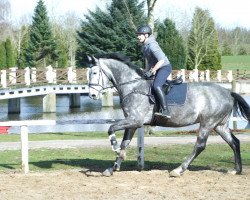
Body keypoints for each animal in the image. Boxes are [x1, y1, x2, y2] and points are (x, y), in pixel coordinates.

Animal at [86, 52, 250, 177]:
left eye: (94, 72)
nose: (92, 95)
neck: (133, 86)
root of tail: (228, 92)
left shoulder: (135, 120)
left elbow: (111, 128)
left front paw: (114, 148)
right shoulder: (132, 122)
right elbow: (124, 143)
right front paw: (113, 167)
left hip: (207, 123)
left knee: (200, 146)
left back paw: (179, 170)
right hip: (219, 125)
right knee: (234, 142)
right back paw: (237, 170)